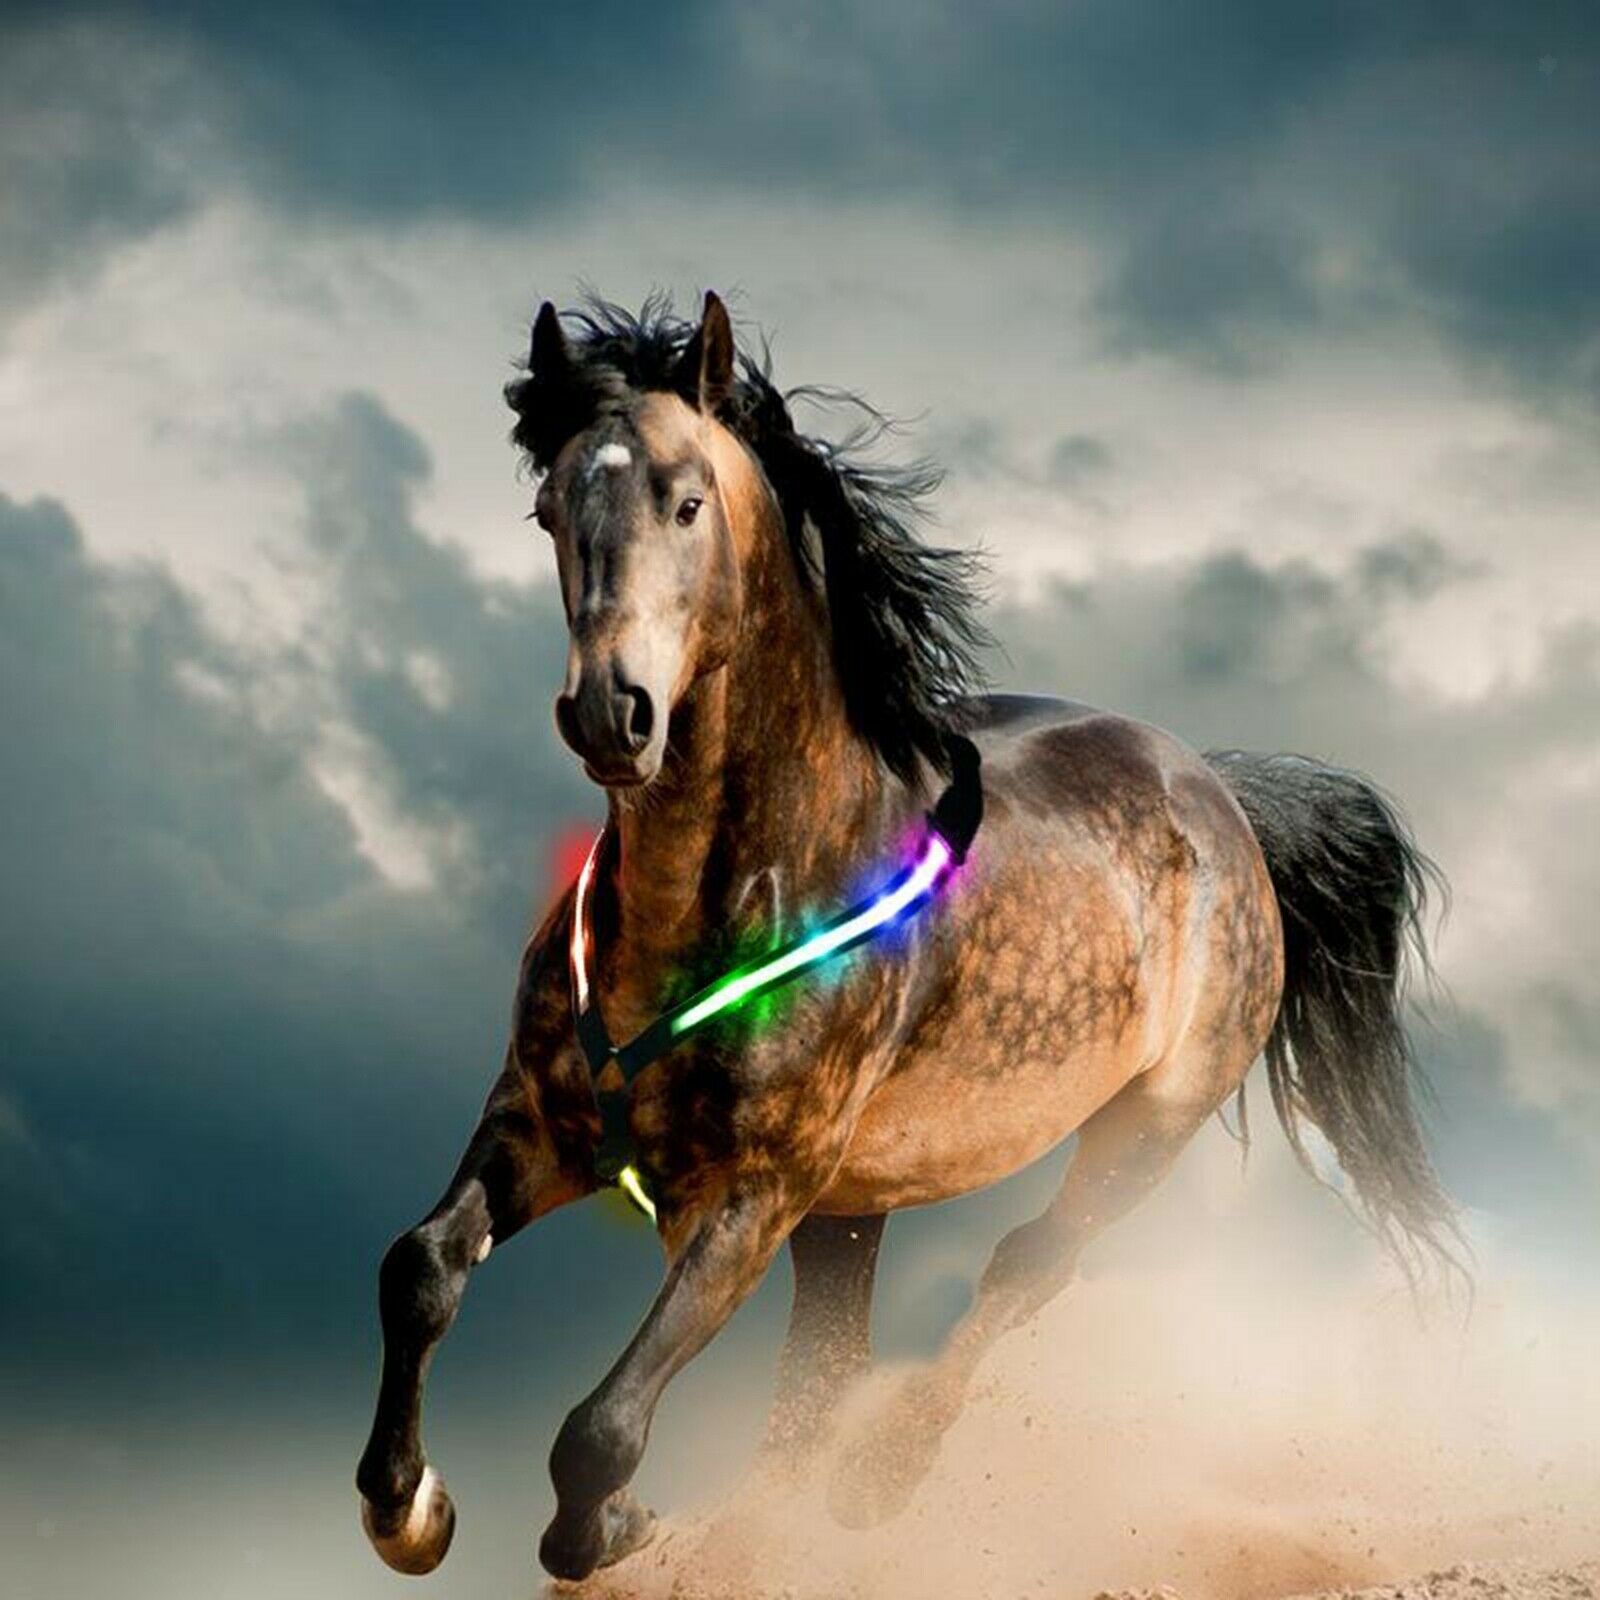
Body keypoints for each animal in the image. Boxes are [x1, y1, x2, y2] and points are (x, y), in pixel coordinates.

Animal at [355, 291, 1459, 1582]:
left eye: (686, 501)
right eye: (548, 509)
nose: (609, 714)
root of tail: (1223, 796)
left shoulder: (754, 1193)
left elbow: (601, 1427)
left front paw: (612, 1526)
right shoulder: (541, 1123)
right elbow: (420, 1268)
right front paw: (409, 1509)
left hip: (1142, 1129)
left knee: (1022, 1267)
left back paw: (877, 1482)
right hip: (854, 1209)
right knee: (820, 1374)